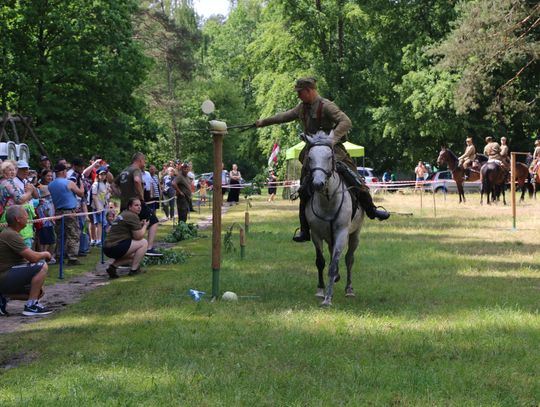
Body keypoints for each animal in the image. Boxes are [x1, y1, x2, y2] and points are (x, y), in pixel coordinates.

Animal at [304, 132, 362, 308]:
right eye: (310, 157)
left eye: (329, 157)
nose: (318, 183)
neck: (328, 201)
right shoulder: (316, 234)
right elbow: (321, 262)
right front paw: (320, 290)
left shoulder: (342, 233)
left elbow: (335, 263)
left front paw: (328, 299)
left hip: (355, 234)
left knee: (349, 259)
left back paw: (349, 289)